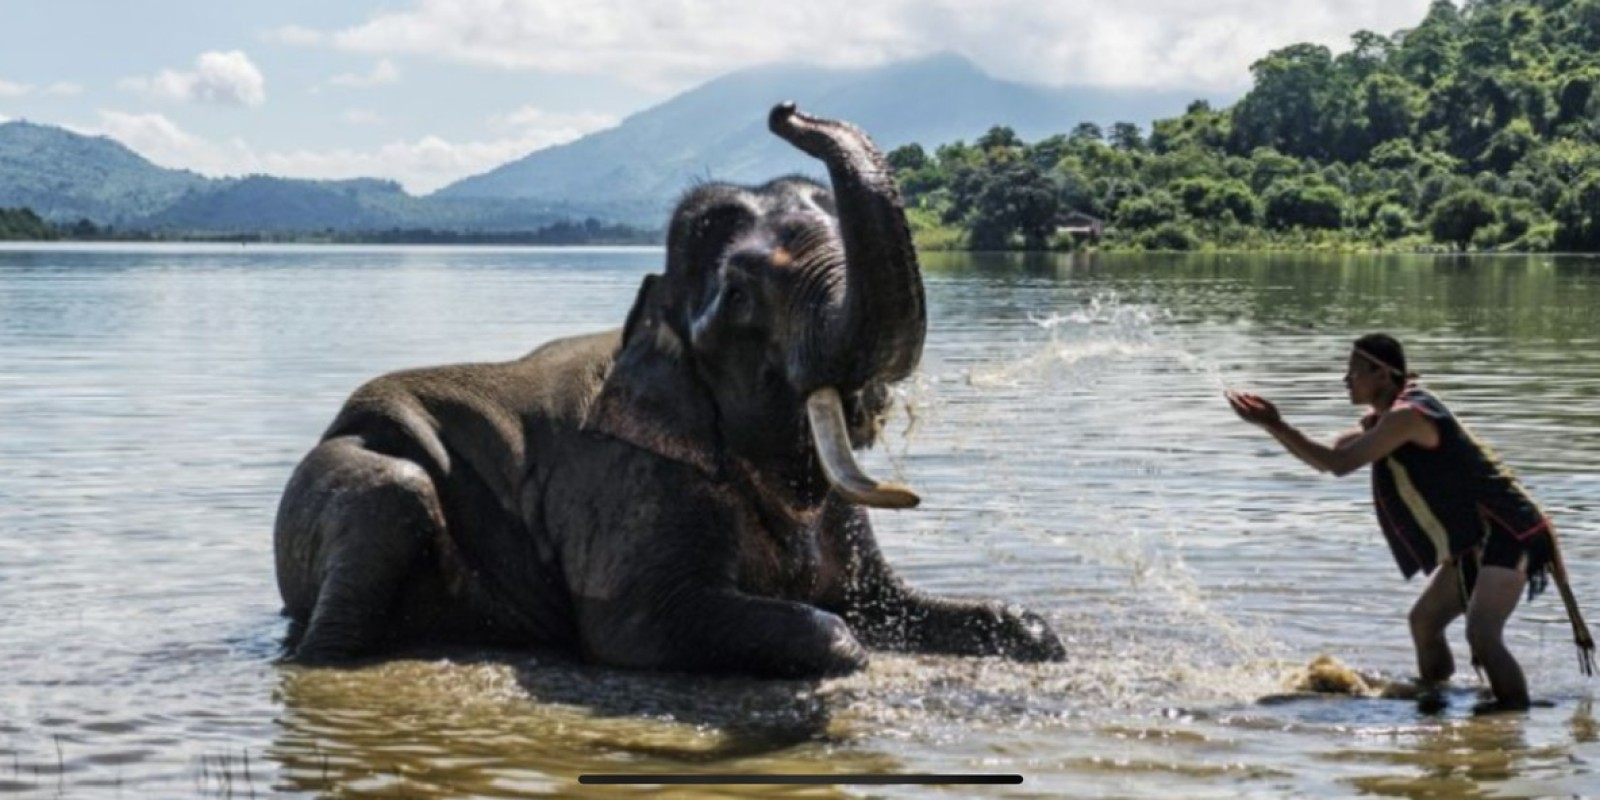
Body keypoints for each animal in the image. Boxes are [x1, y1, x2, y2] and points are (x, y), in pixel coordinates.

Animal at [273, 103, 1066, 678]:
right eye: (739, 296)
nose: (785, 110)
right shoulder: (627, 482)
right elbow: (641, 625)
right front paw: (845, 647)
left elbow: (885, 600)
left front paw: (1038, 634)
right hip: (343, 479)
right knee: (391, 497)